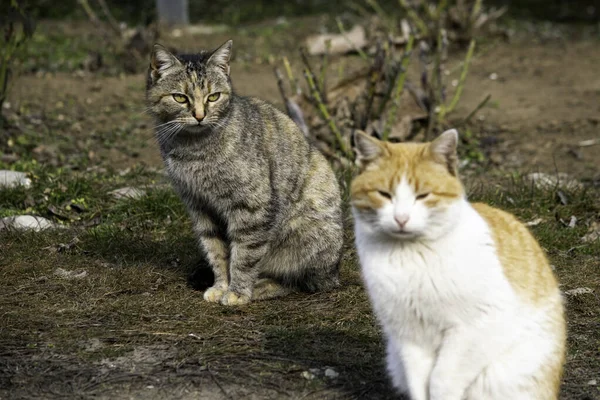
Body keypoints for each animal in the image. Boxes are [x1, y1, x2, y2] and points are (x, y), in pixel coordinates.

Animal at [144, 40, 342, 306]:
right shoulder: (200, 206)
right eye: (180, 98)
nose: (199, 116)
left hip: (305, 237)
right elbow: (216, 251)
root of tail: (335, 271)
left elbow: (244, 255)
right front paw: (220, 286)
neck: (194, 149)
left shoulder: (251, 207)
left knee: (301, 281)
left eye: (213, 97)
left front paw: (237, 291)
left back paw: (261, 286)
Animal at [350, 129, 564, 400]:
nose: (401, 218)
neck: (410, 255)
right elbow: (419, 384)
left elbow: (442, 380)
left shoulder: (477, 324)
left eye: (423, 195)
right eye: (384, 194)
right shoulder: (408, 334)